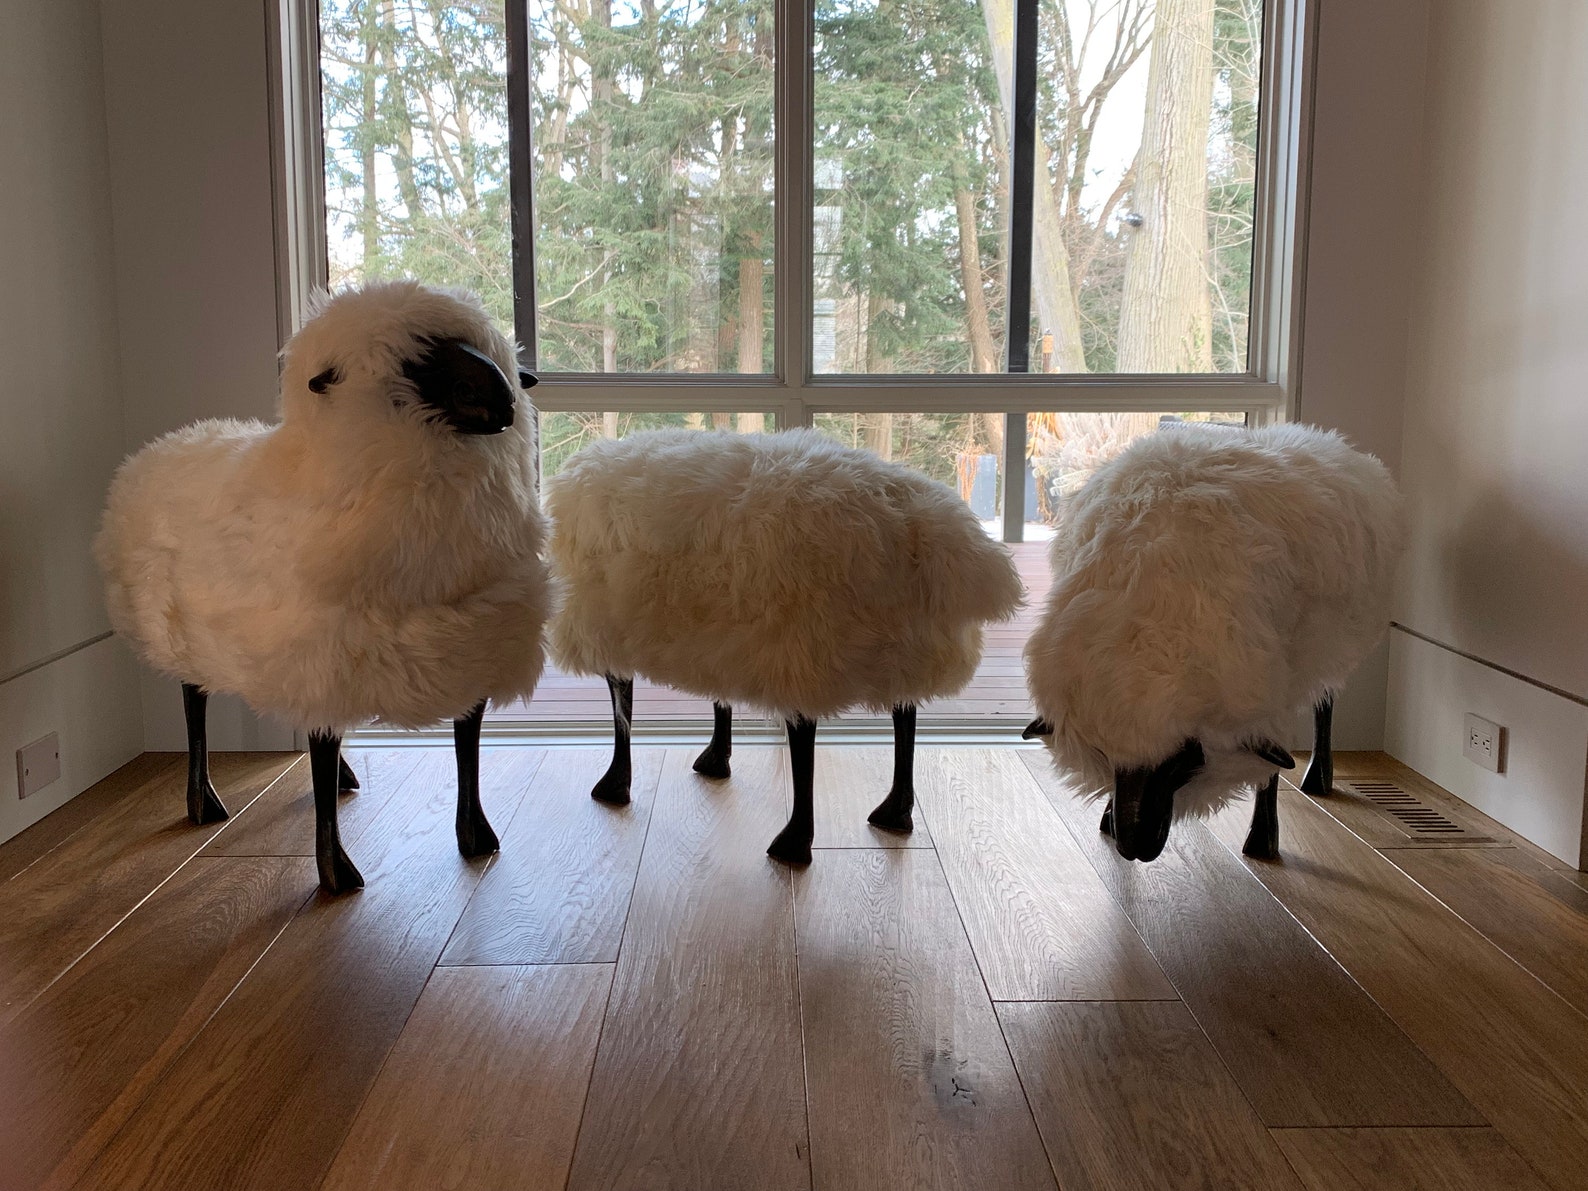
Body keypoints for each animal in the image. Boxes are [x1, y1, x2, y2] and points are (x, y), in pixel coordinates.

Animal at [95, 281, 550, 893]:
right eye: (413, 362)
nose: (501, 393)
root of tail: (165, 442)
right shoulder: (326, 649)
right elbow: (319, 748)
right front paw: (335, 870)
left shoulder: (478, 643)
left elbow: (467, 747)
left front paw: (476, 835)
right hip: (186, 635)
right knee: (195, 703)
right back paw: (203, 802)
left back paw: (341, 778)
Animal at [546, 426, 1024, 864]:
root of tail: (926, 530)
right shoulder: (719, 639)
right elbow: (712, 696)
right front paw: (715, 758)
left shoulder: (611, 633)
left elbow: (621, 708)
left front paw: (616, 784)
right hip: (899, 646)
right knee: (904, 713)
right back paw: (894, 813)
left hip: (806, 648)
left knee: (809, 732)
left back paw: (794, 841)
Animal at [1022, 422, 1404, 863]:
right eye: (1103, 754)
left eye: (1186, 759)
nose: (1134, 847)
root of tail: (1326, 439)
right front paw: (1107, 813)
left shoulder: (1275, 684)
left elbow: (1270, 765)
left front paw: (1262, 838)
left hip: (1332, 644)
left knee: (1326, 699)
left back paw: (1317, 778)